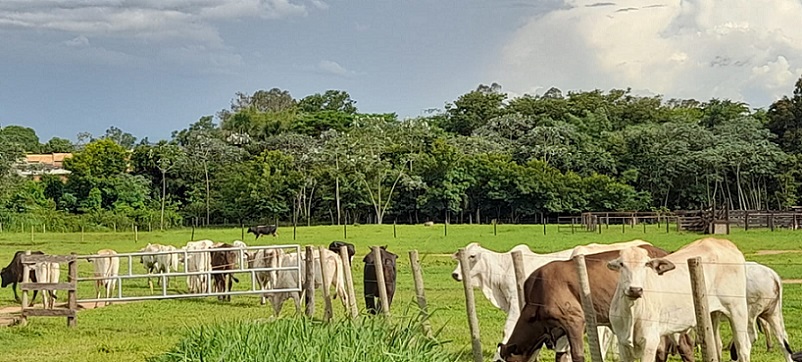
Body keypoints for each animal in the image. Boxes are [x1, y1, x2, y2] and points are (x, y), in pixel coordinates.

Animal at [608, 238, 752, 362]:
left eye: (646, 264)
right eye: (621, 264)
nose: (635, 289)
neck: (632, 312)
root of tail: (722, 242)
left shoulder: (650, 342)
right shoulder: (622, 343)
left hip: (737, 309)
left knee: (743, 347)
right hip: (711, 314)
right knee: (717, 347)